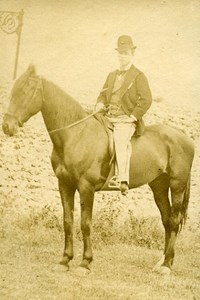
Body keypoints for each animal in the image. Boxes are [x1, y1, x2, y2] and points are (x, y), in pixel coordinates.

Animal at [2, 65, 195, 274]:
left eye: (26, 91)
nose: (7, 126)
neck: (76, 135)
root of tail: (185, 137)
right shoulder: (65, 185)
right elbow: (67, 222)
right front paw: (65, 260)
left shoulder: (86, 188)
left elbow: (85, 224)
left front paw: (85, 263)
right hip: (159, 186)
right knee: (167, 220)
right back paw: (163, 262)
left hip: (176, 186)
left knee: (174, 221)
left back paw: (167, 265)